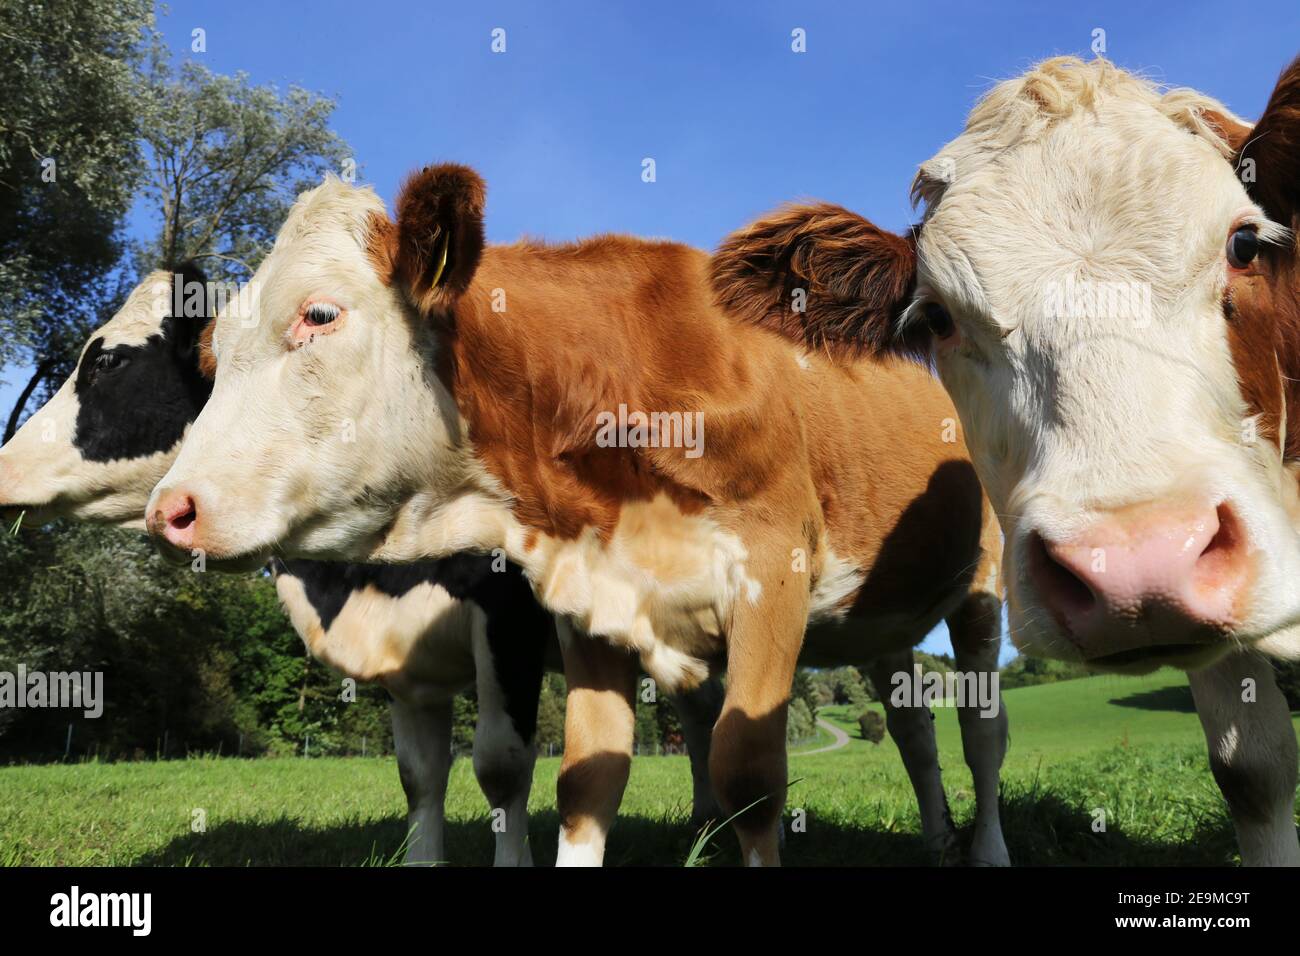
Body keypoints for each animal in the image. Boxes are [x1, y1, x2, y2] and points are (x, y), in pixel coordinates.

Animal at [144, 164, 1013, 868]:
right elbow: (585, 781)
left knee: (983, 732)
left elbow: (748, 773)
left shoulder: (770, 580)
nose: (170, 510)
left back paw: (985, 850)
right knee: (914, 728)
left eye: (319, 316)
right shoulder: (592, 600)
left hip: (983, 587)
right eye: (214, 358)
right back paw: (937, 838)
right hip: (884, 616)